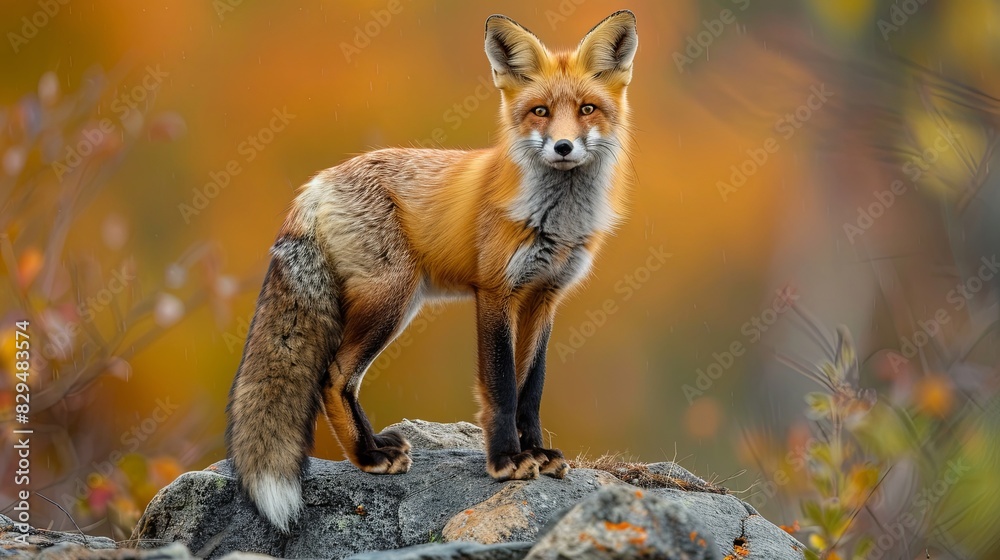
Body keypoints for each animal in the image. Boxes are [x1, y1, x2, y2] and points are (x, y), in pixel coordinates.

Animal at [226, 10, 638, 532]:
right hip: (392, 299)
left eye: (587, 109)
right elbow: (501, 385)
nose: (563, 147)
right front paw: (506, 461)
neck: (555, 220)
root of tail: (315, 184)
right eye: (540, 111)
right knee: (333, 375)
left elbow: (532, 387)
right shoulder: (496, 292)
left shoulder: (544, 297)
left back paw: (375, 448)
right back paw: (367, 458)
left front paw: (537, 452)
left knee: (345, 379)